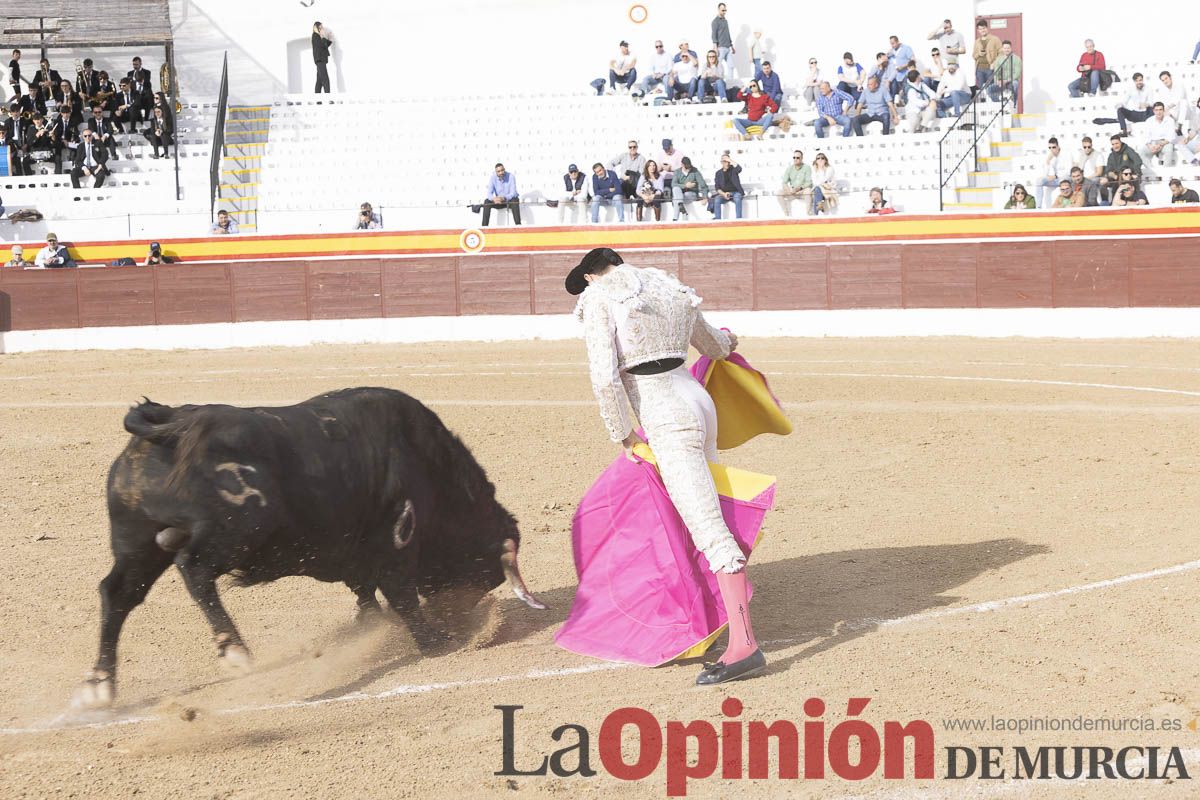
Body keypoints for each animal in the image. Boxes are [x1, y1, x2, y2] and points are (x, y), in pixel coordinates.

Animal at [81, 388, 552, 705]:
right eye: (484, 573)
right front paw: (434, 640)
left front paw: (372, 624)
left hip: (138, 541)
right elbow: (400, 594)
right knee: (193, 569)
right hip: (236, 530)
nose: (459, 620)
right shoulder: (397, 539)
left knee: (118, 594)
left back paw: (101, 687)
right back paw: (235, 652)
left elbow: (365, 592)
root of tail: (171, 424)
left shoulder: (360, 556)